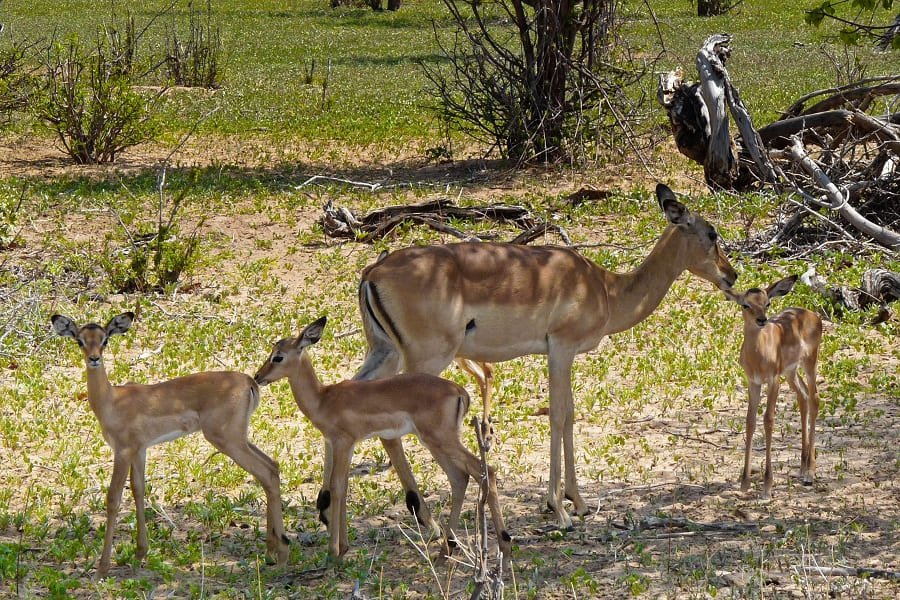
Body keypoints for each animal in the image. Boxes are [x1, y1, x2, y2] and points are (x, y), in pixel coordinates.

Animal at [51, 312, 288, 576]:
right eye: (80, 341)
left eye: (105, 340)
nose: (94, 359)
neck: (111, 401)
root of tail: (249, 381)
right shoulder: (140, 450)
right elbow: (138, 490)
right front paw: (140, 552)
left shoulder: (122, 451)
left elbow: (113, 499)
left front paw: (102, 567)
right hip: (240, 439)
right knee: (273, 466)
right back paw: (272, 550)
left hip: (228, 440)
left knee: (265, 472)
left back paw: (280, 554)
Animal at [253, 316, 512, 564]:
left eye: (278, 356)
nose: (258, 376)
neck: (323, 399)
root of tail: (460, 392)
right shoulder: (349, 446)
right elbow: (343, 488)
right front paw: (343, 548)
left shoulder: (342, 443)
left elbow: (336, 488)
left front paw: (333, 552)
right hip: (435, 443)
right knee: (460, 478)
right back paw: (445, 552)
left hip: (442, 440)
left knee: (485, 470)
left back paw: (504, 545)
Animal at [724, 278, 824, 502]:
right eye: (746, 304)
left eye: (767, 303)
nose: (762, 319)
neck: (758, 355)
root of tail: (812, 314)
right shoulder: (753, 382)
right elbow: (750, 421)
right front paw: (744, 483)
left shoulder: (773, 380)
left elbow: (768, 420)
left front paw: (767, 487)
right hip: (791, 371)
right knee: (803, 396)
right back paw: (802, 466)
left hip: (809, 363)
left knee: (814, 398)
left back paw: (810, 473)